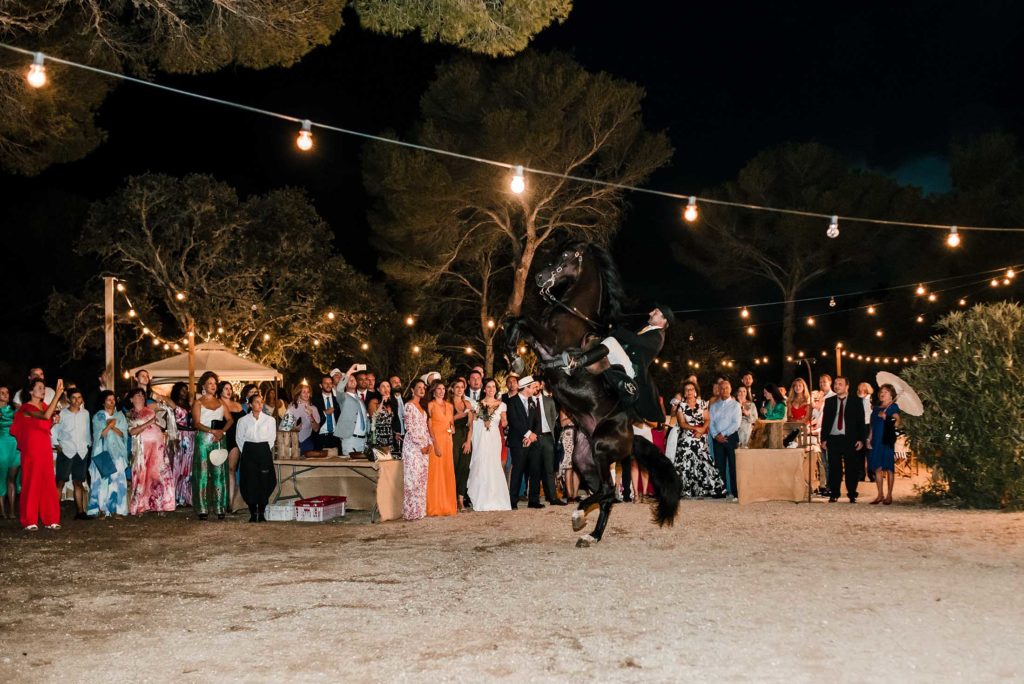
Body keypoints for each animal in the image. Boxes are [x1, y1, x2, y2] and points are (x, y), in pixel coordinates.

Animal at [503, 240, 679, 544]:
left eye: (565, 255)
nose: (539, 278)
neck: (572, 314)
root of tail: (631, 435)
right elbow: (517, 321)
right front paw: (514, 355)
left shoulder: (552, 343)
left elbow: (524, 319)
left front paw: (516, 355)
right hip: (585, 461)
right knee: (606, 495)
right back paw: (592, 534)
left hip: (600, 448)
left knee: (608, 492)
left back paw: (578, 517)